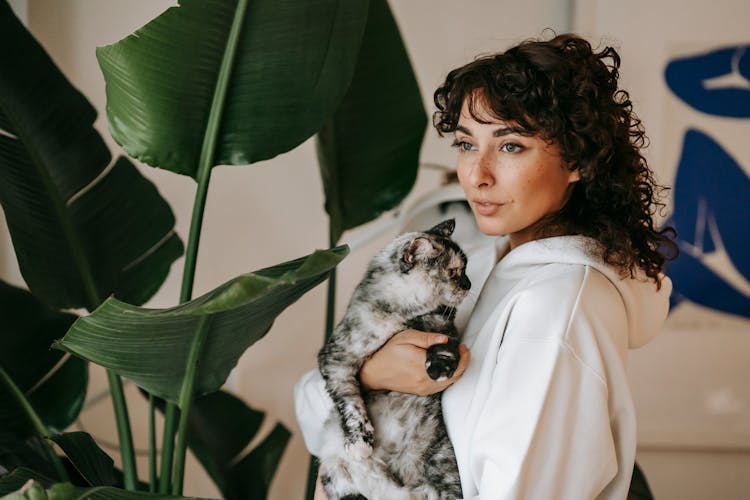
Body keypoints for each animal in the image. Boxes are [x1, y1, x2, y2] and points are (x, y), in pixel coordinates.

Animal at [318, 219, 472, 500]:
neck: (403, 316)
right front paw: (360, 443)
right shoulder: (336, 359)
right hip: (333, 472)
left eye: (465, 270)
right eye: (455, 272)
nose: (469, 284)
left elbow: (444, 346)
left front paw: (440, 367)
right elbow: (350, 404)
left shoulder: (446, 331)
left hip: (441, 461)